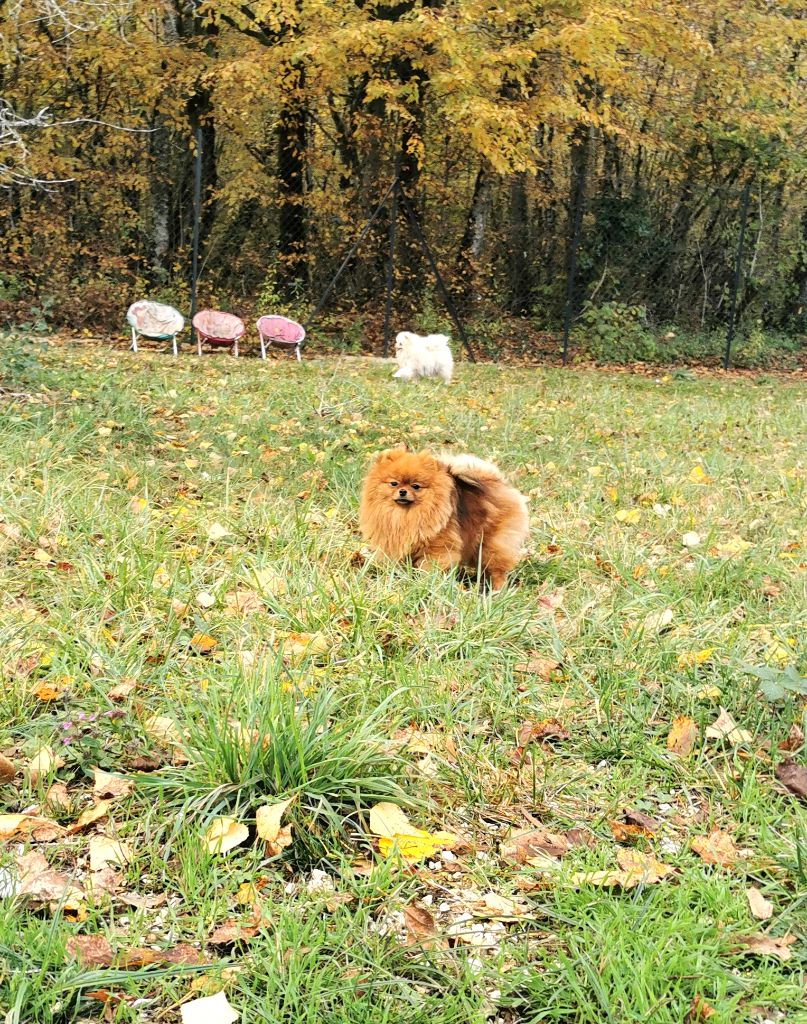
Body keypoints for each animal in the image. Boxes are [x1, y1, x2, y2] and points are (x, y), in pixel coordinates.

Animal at [358, 448, 528, 593]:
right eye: (393, 483)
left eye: (416, 486)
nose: (402, 491)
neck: (406, 516)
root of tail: (497, 482)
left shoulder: (438, 548)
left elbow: (429, 568)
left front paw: (425, 584)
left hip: (492, 545)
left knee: (497, 570)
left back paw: (496, 591)